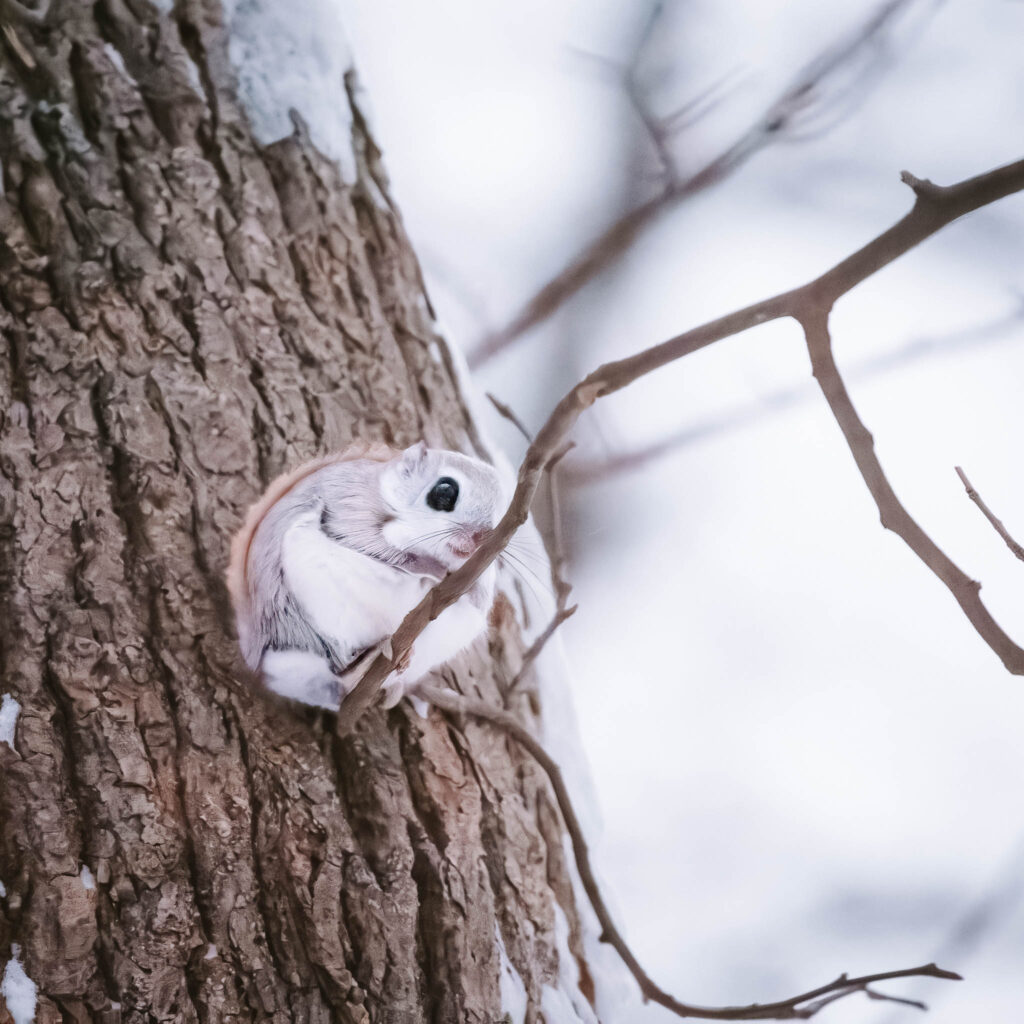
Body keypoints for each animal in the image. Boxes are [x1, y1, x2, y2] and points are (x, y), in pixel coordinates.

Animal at [227, 441, 501, 714]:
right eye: (444, 491)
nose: (481, 537)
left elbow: (479, 596)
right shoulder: (350, 504)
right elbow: (371, 543)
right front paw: (432, 568)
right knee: (338, 671)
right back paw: (366, 660)